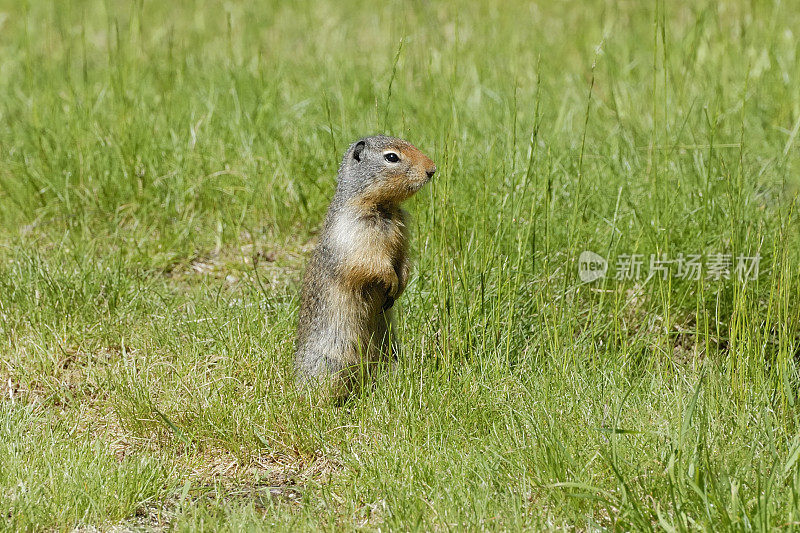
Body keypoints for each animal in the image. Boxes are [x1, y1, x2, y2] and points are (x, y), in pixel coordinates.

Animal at [294, 133, 434, 400]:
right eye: (392, 157)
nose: (432, 169)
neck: (385, 208)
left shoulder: (402, 233)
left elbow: (403, 259)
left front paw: (401, 282)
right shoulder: (356, 232)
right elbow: (369, 263)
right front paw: (391, 281)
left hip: (390, 351)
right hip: (332, 361)